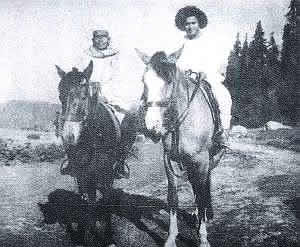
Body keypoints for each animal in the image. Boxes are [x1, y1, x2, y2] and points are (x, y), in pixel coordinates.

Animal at [137, 49, 220, 247]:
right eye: (144, 81)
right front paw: (171, 237)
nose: (152, 126)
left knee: (202, 187)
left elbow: (202, 193)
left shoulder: (202, 161)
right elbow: (173, 197)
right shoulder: (170, 159)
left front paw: (203, 237)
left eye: (169, 80)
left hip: (210, 159)